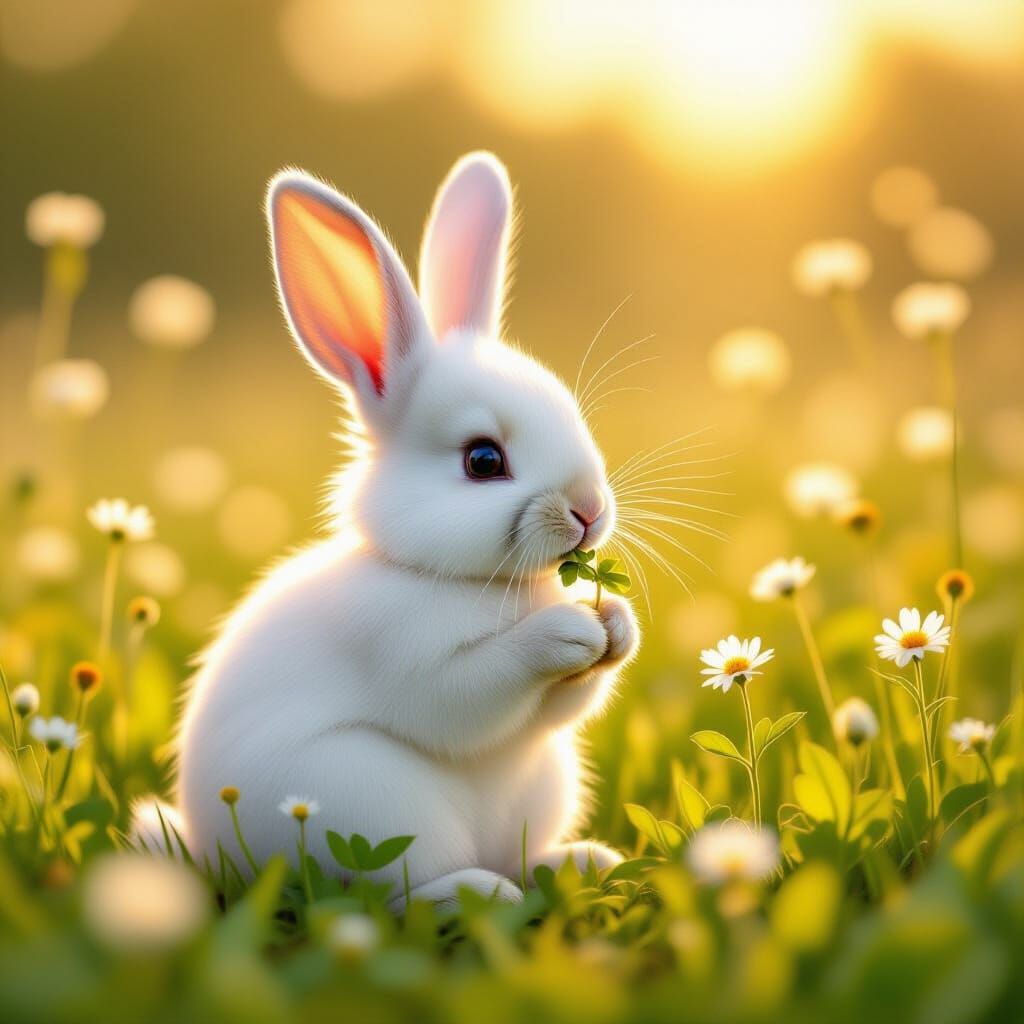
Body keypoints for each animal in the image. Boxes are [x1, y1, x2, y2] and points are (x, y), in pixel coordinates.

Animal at [136, 152, 640, 906]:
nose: (588, 510)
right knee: (395, 892)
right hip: (371, 798)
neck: (450, 578)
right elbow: (473, 692)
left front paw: (618, 627)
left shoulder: (549, 716)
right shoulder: (411, 662)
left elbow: (568, 701)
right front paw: (570, 631)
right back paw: (485, 892)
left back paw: (584, 862)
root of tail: (209, 848)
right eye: (483, 460)